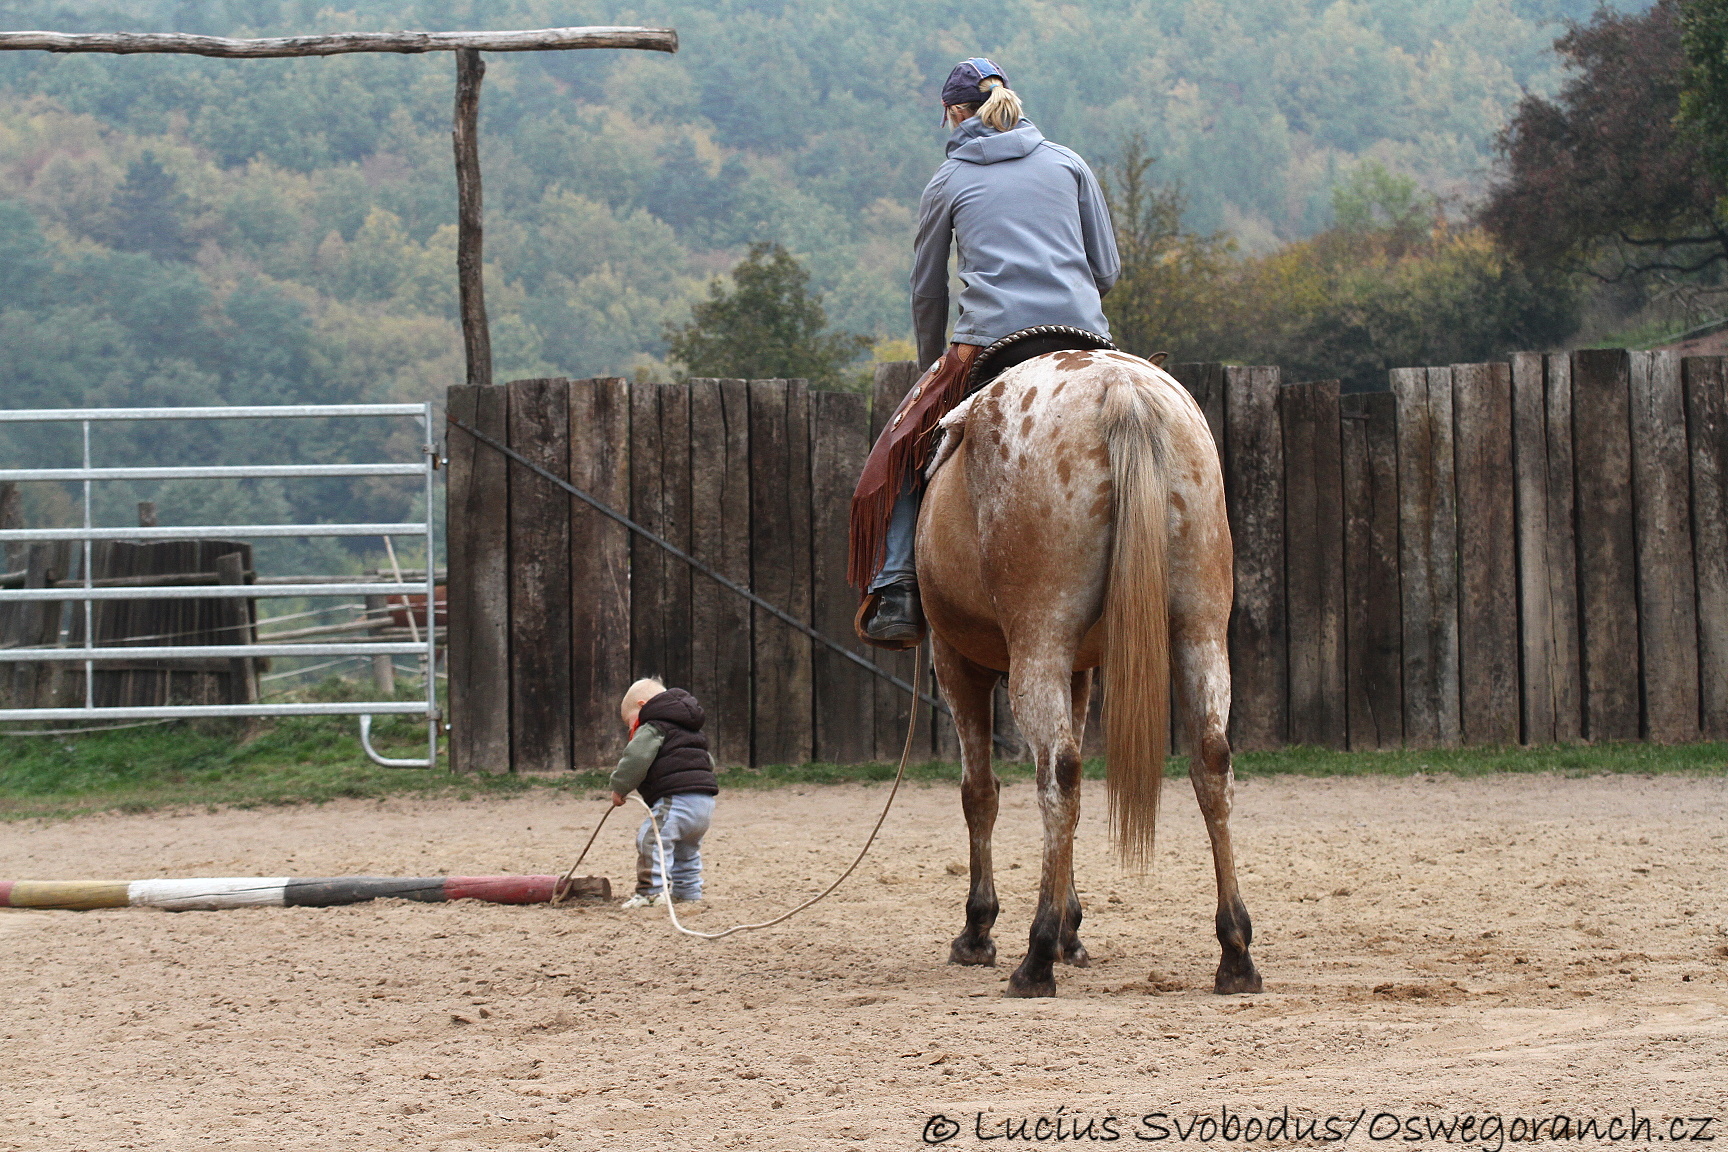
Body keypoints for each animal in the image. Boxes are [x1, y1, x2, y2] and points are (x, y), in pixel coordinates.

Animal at [912, 347, 1264, 994]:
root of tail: (1120, 388)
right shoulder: (1081, 672)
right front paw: (1072, 928)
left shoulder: (958, 663)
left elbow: (980, 793)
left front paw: (981, 929)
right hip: (1200, 632)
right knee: (1211, 762)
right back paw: (1235, 952)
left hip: (1040, 644)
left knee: (1059, 775)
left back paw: (1036, 956)